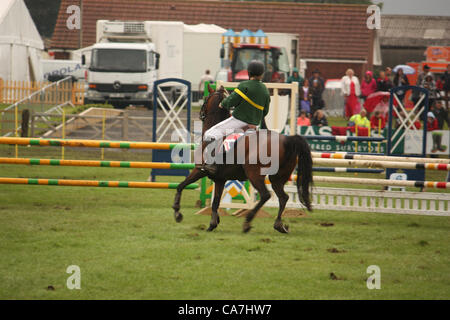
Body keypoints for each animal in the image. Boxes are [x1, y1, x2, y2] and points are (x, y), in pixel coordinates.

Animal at [171, 84, 312, 232]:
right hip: (277, 179)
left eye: (205, 99)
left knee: (266, 195)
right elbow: (215, 202)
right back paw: (279, 225)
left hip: (254, 174)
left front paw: (177, 213)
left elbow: (180, 186)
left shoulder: (199, 170)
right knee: (283, 197)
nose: (200, 114)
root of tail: (286, 140)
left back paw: (248, 222)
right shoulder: (220, 180)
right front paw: (212, 224)